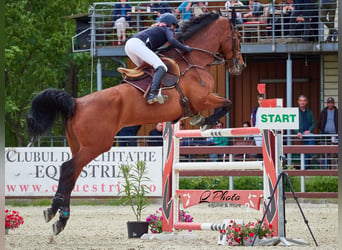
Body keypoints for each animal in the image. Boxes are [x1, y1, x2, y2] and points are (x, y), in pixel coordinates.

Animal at [27, 12, 246, 234]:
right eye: (237, 36)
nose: (240, 66)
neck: (193, 60)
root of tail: (76, 103)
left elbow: (224, 104)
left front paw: (201, 120)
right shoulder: (203, 99)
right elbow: (227, 103)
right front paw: (205, 121)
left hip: (79, 146)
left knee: (72, 175)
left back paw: (61, 219)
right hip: (96, 145)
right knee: (68, 168)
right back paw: (53, 211)